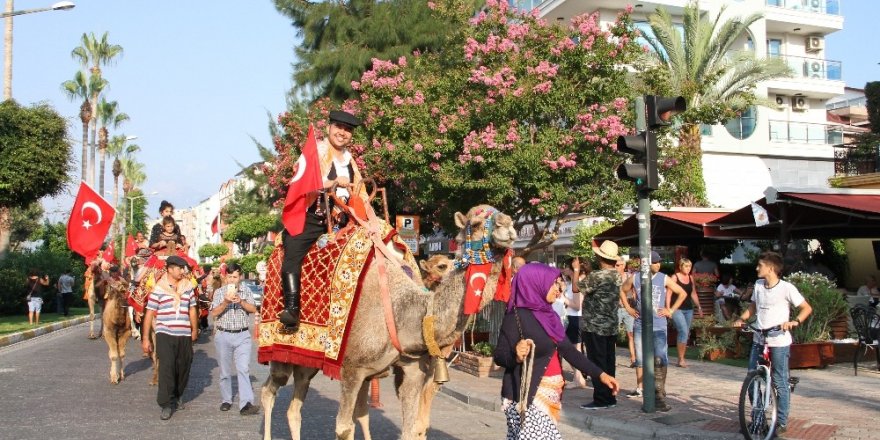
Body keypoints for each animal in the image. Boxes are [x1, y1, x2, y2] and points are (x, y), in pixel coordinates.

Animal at [258, 206, 516, 440]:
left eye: (504, 215)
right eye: (476, 223)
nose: (508, 226)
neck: (405, 312)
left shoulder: (411, 371)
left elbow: (408, 428)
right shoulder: (351, 368)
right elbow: (344, 428)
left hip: (306, 362)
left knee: (294, 407)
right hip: (280, 352)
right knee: (268, 391)